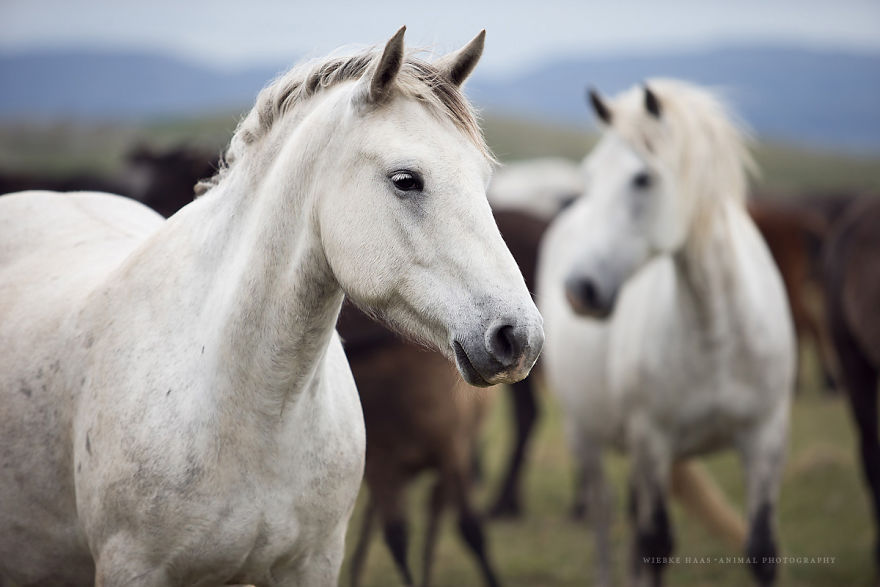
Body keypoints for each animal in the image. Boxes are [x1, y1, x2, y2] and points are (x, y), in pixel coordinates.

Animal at [0, 27, 544, 587]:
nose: (518, 338)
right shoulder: (133, 566)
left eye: (482, 179)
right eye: (405, 179)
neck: (251, 408)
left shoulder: (313, 563)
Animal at [538, 80, 794, 586]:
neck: (718, 333)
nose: (578, 290)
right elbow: (655, 543)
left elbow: (762, 550)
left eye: (643, 178)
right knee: (603, 517)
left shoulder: (766, 437)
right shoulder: (653, 440)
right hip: (587, 434)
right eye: (589, 175)